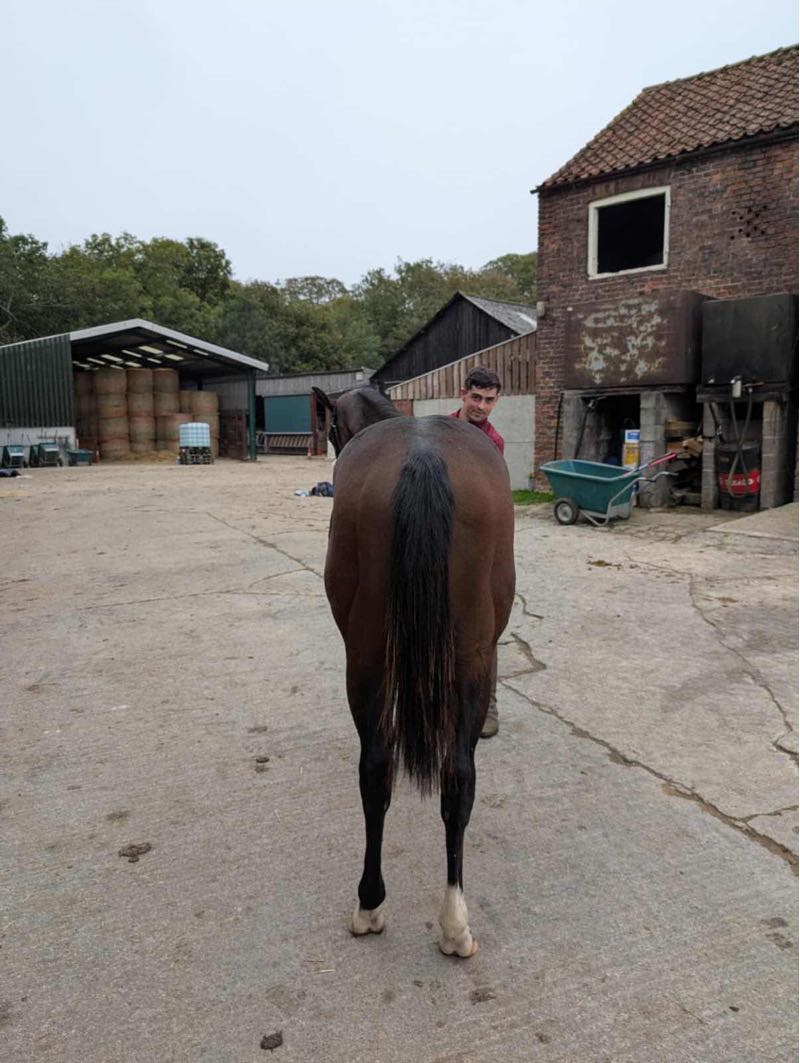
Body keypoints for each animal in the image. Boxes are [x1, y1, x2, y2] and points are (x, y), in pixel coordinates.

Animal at [313, 386, 515, 957]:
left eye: (330, 427)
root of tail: (423, 457)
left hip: (373, 658)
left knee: (389, 770)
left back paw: (388, 908)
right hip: (464, 657)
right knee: (447, 777)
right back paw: (435, 916)